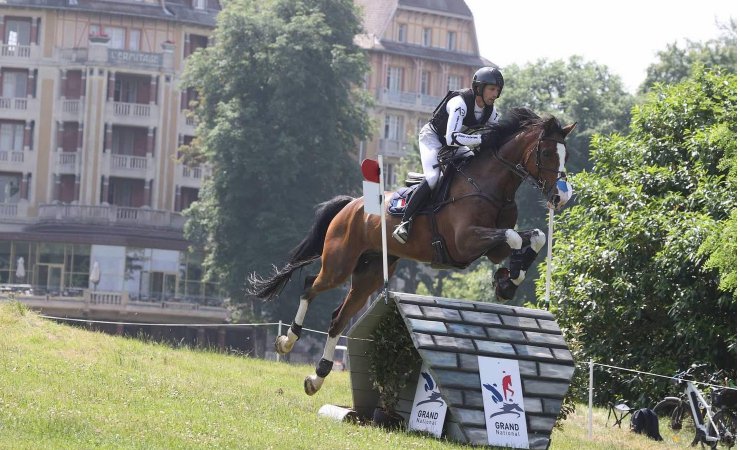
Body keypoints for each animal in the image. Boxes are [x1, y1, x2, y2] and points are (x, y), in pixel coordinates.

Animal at [249, 108, 576, 396]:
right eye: (547, 153)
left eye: (567, 155)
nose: (562, 197)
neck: (489, 185)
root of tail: (351, 204)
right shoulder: (465, 241)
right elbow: (516, 237)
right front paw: (507, 280)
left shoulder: (490, 248)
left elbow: (534, 237)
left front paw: (507, 281)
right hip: (339, 264)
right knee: (309, 287)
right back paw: (287, 341)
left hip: (370, 273)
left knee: (337, 319)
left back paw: (317, 378)